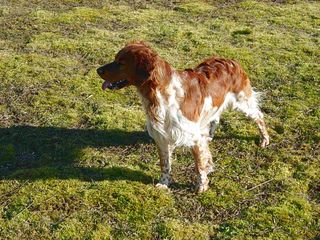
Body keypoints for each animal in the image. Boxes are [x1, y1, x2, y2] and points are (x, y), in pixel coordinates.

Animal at [97, 40, 270, 192]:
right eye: (116, 58)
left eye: (121, 62)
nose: (98, 70)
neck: (160, 95)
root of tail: (231, 60)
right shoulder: (162, 137)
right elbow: (165, 164)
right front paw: (164, 183)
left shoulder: (194, 138)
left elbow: (199, 166)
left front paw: (202, 186)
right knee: (215, 117)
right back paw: (210, 135)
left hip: (243, 102)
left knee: (259, 116)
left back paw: (264, 139)